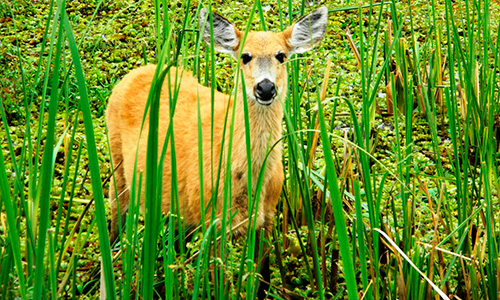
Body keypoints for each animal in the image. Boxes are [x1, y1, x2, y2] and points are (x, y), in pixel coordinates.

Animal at [101, 5, 328, 298]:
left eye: (281, 56)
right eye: (245, 56)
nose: (265, 87)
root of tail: (136, 72)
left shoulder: (267, 217)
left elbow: (263, 280)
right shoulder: (213, 223)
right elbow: (215, 280)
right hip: (117, 162)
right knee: (115, 222)